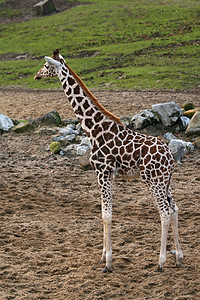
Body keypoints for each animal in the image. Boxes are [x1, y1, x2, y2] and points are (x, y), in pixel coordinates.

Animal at [34, 48, 183, 272]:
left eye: (46, 66)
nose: (36, 75)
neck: (93, 129)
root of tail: (169, 155)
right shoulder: (104, 175)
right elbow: (103, 213)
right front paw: (103, 256)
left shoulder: (103, 172)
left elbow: (107, 215)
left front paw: (109, 262)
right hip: (166, 181)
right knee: (174, 209)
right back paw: (180, 257)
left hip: (153, 180)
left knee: (164, 213)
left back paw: (161, 262)